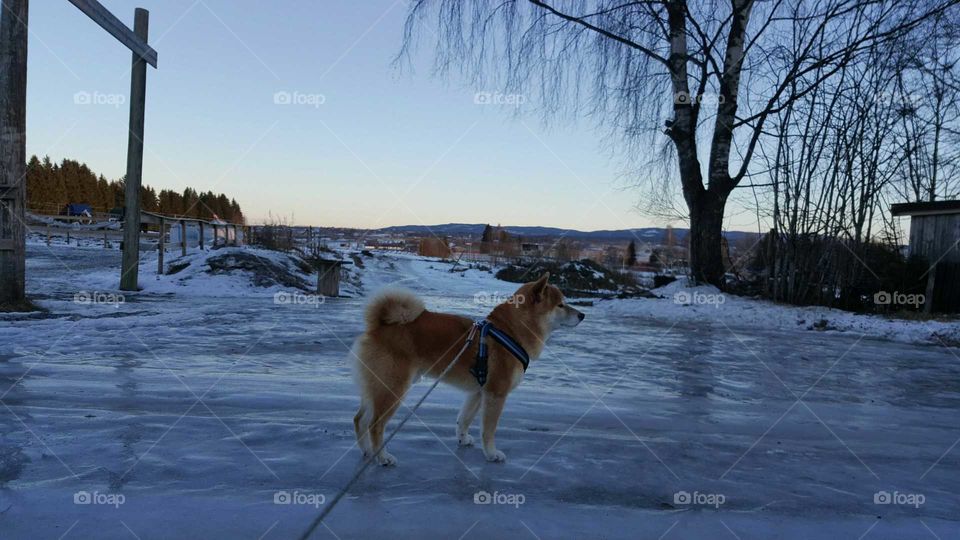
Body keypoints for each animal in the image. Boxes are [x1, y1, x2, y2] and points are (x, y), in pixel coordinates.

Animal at [348, 274, 580, 464]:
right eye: (561, 305)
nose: (582, 315)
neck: (512, 332)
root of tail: (378, 327)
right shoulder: (496, 394)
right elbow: (488, 430)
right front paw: (491, 453)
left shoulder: (478, 392)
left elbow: (464, 419)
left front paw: (462, 439)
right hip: (393, 388)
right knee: (375, 425)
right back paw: (381, 456)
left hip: (376, 387)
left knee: (359, 419)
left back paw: (367, 451)